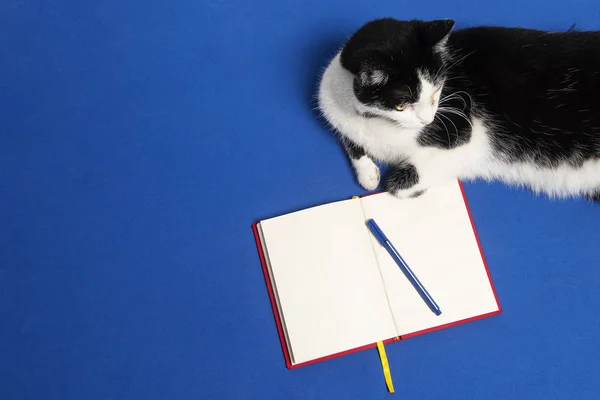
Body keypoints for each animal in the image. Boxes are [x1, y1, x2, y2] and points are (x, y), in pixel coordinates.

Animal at [318, 17, 600, 202]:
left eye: (436, 91)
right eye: (401, 104)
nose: (427, 119)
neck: (376, 121)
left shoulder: (465, 134)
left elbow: (397, 186)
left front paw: (403, 184)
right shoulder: (335, 110)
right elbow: (352, 143)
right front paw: (368, 174)